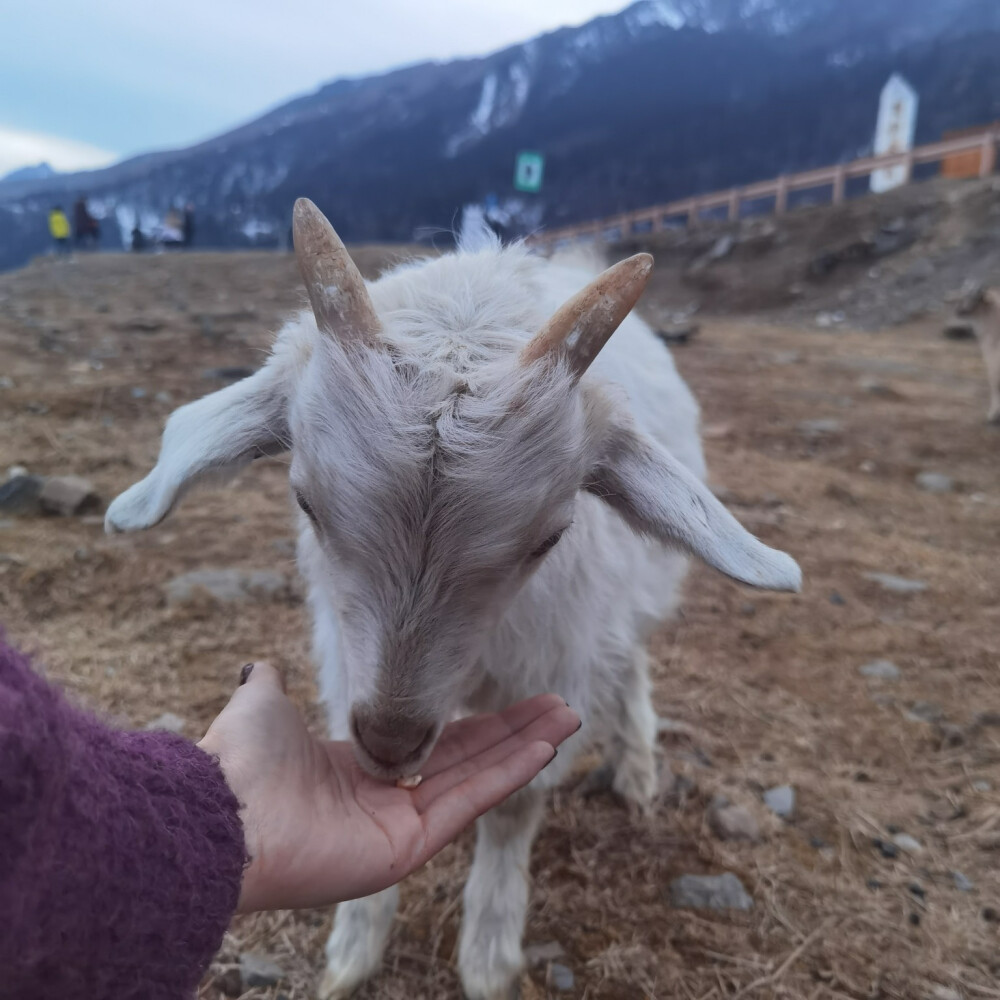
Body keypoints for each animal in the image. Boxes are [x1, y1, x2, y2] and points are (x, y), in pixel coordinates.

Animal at [105, 199, 800, 996]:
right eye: (306, 501)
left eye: (548, 537)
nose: (391, 740)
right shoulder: (345, 653)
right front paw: (354, 948)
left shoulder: (552, 661)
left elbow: (516, 807)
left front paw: (489, 956)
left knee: (631, 657)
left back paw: (637, 768)